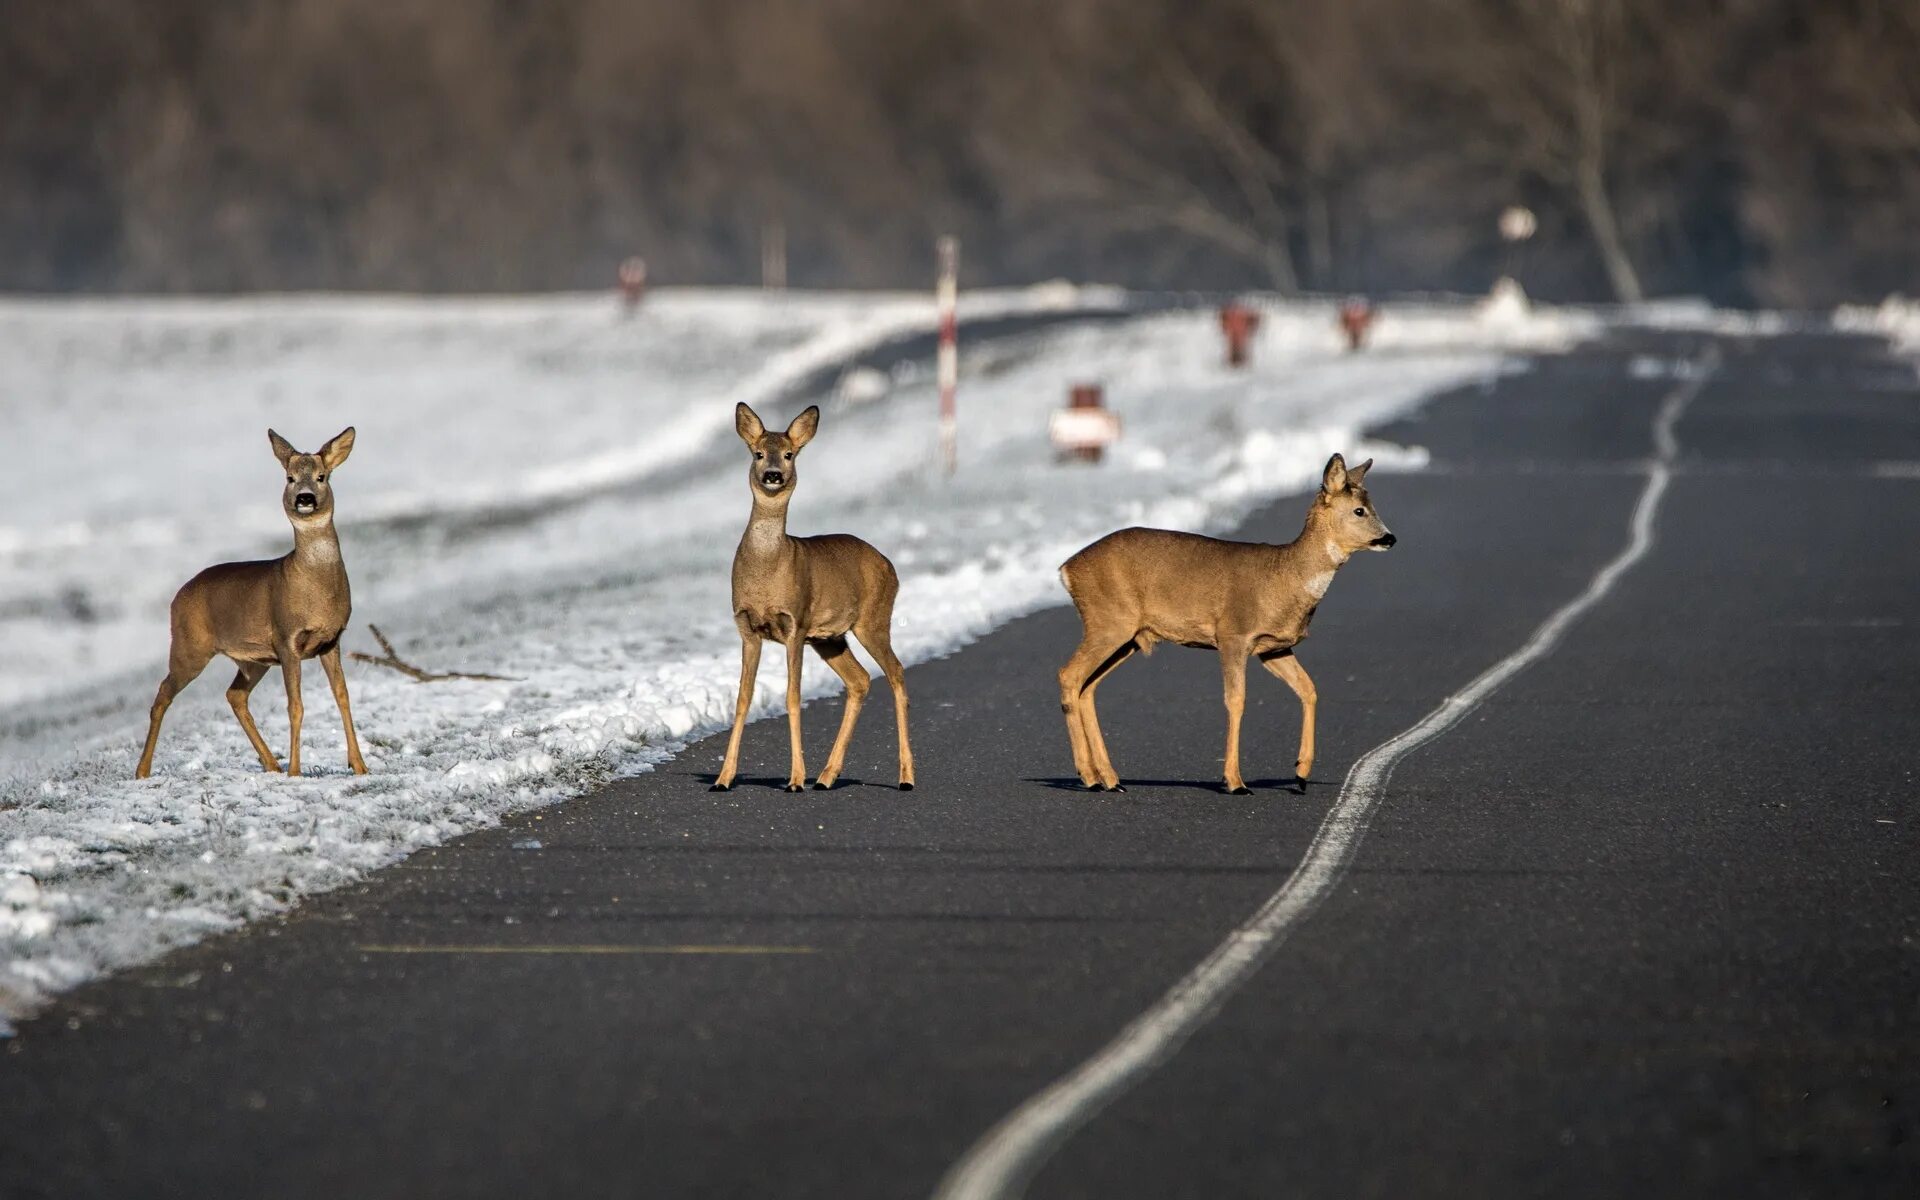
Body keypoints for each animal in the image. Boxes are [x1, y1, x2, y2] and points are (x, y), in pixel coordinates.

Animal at [132, 428, 370, 775]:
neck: (314, 588)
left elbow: (343, 695)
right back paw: (142, 771)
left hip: (253, 660)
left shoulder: (331, 640)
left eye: (322, 477)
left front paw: (360, 766)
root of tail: (177, 596)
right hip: (190, 646)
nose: (305, 498)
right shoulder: (286, 639)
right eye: (289, 478)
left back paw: (271, 764)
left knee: (234, 695)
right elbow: (295, 706)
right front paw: (296, 771)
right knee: (163, 693)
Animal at [714, 405, 913, 794]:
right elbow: (743, 698)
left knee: (896, 673)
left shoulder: (796, 624)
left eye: (789, 454)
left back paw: (905, 778)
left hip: (872, 620)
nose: (773, 474)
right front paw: (723, 779)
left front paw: (795, 779)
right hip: (830, 638)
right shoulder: (746, 628)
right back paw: (825, 776)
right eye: (758, 453)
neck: (767, 570)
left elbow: (793, 697)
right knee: (860, 680)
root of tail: (889, 564)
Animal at [1059, 453, 1405, 791]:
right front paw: (1235, 781)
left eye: (1372, 506)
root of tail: (1066, 570)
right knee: (1069, 675)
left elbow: (1309, 689)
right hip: (1109, 621)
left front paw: (1301, 774)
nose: (1389, 538)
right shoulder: (1233, 634)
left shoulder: (1273, 648)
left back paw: (1109, 779)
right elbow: (1236, 700)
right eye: (1359, 510)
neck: (1286, 577)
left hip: (1128, 636)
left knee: (1088, 686)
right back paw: (1089, 777)